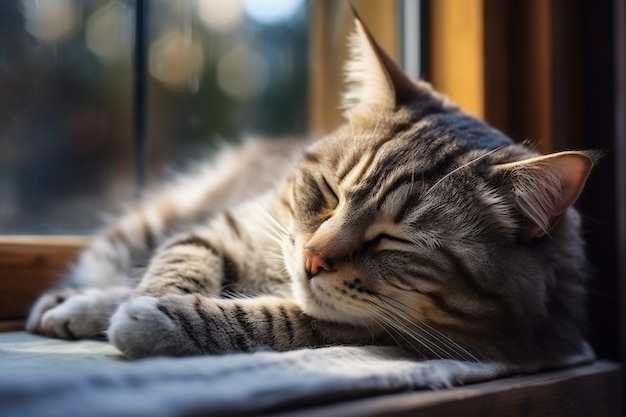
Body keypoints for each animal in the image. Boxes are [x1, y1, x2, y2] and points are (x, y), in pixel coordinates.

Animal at [26, 13, 596, 366]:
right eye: (329, 192)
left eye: (397, 241)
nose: (312, 258)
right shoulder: (233, 227)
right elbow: (179, 261)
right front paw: (128, 301)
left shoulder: (390, 330)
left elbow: (276, 319)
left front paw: (155, 318)